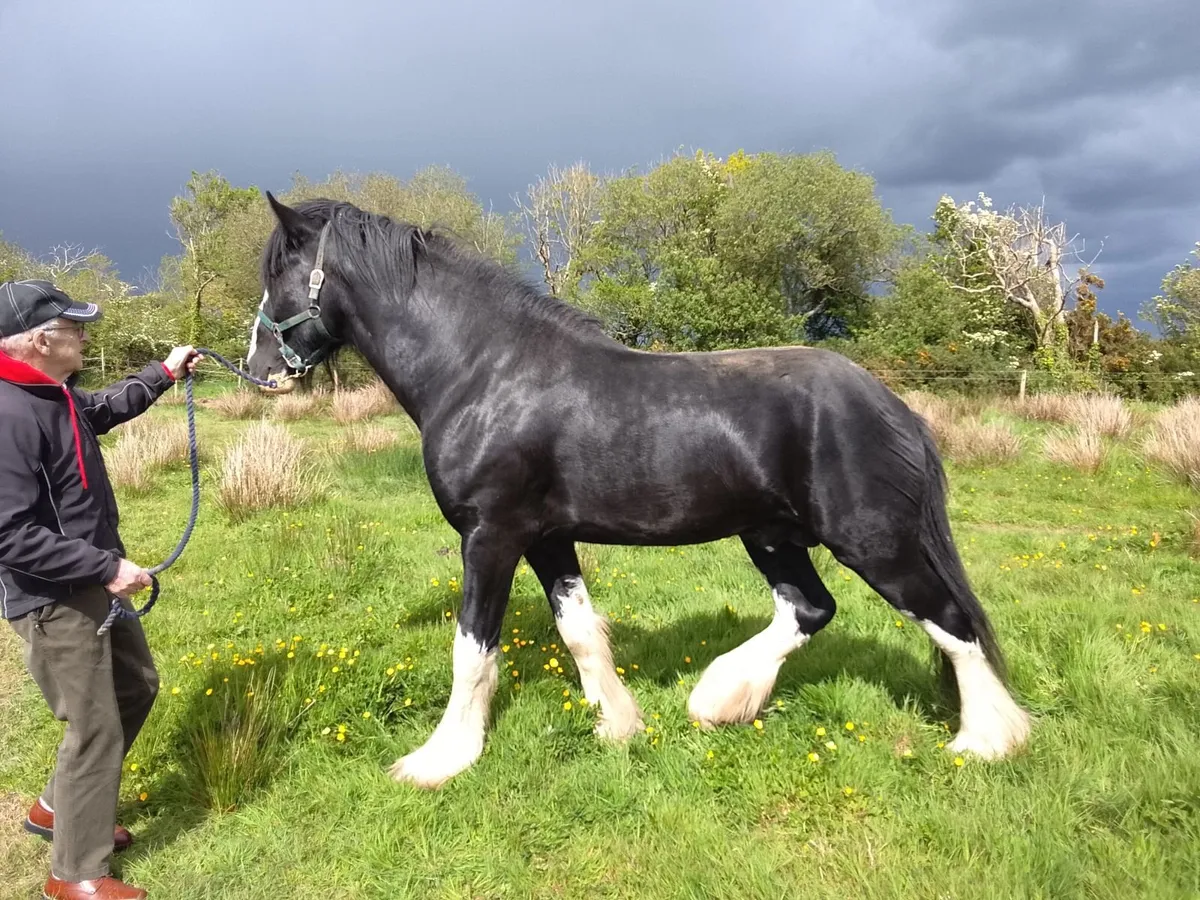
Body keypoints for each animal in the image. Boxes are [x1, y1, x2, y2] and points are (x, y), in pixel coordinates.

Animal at [245, 192, 1030, 789]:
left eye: (281, 271)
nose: (258, 369)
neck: (481, 371)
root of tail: (891, 406)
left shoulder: (491, 536)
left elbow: (472, 648)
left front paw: (440, 760)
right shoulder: (547, 539)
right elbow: (579, 631)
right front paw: (619, 727)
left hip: (872, 541)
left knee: (951, 623)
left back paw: (987, 741)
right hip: (772, 535)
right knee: (811, 609)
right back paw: (721, 700)